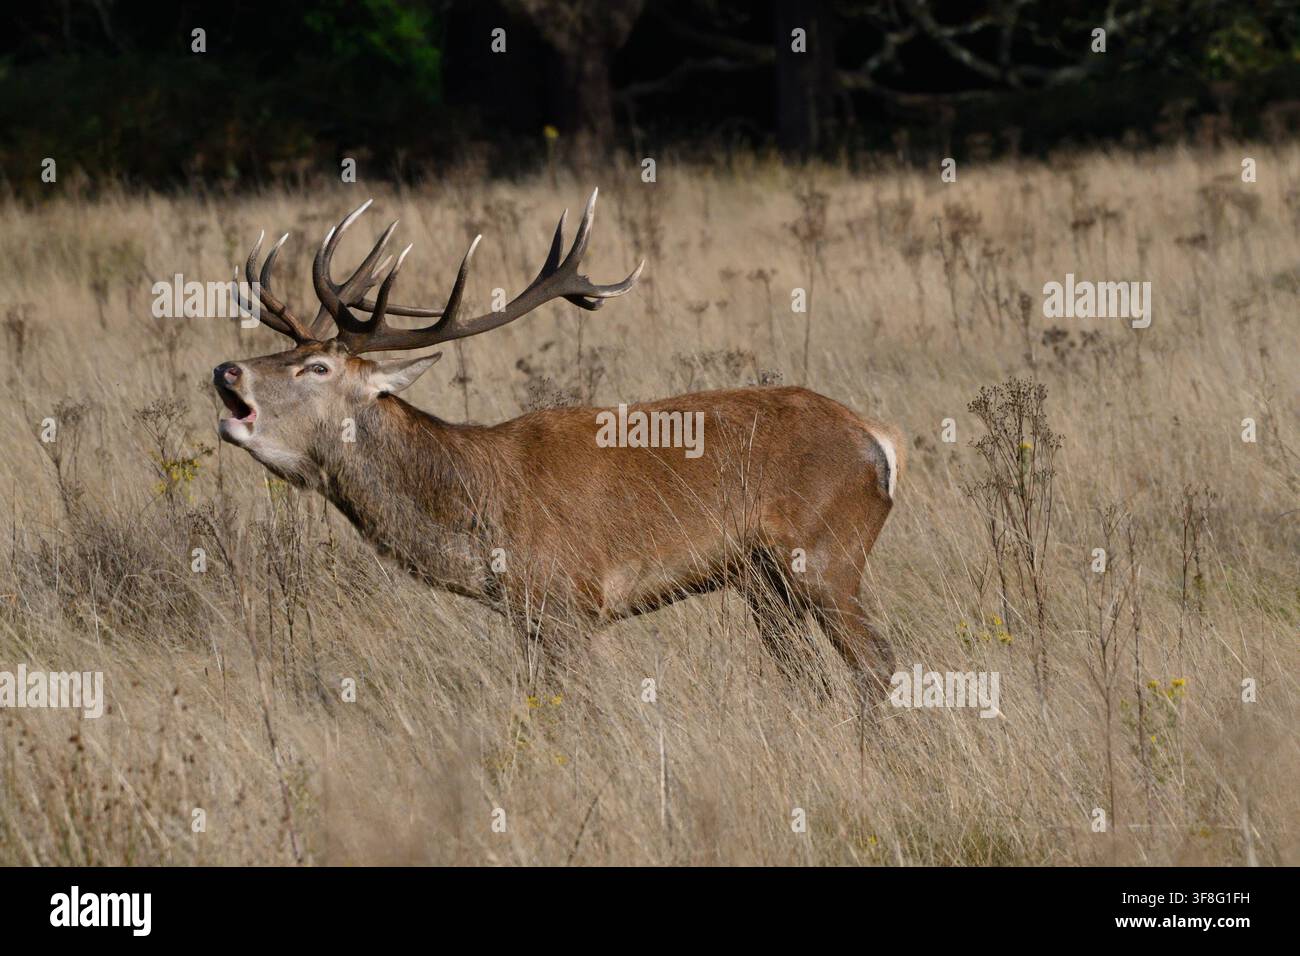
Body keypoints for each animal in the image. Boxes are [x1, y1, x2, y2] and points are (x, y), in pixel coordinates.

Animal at [214, 190, 903, 701]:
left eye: (318, 368)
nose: (226, 370)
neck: (479, 517)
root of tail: (879, 440)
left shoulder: (566, 600)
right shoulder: (528, 615)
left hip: (826, 553)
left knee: (877, 661)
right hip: (764, 582)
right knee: (810, 675)